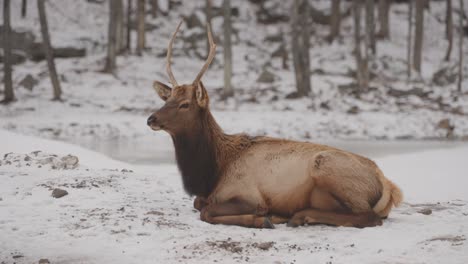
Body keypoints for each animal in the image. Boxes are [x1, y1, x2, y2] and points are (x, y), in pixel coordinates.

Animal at [147, 22, 402, 229]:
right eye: (167, 99)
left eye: (185, 104)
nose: (151, 119)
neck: (211, 172)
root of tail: (388, 186)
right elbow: (198, 203)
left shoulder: (248, 195)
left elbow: (206, 211)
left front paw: (263, 219)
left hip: (327, 167)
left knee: (368, 217)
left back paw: (298, 216)